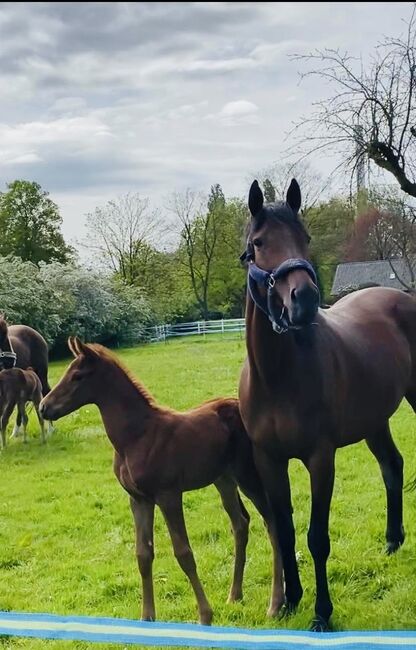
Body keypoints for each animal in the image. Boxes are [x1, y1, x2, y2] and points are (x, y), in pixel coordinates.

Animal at [39, 334, 282, 624]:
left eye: (77, 376)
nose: (43, 407)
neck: (136, 437)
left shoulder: (168, 496)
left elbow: (183, 553)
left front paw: (205, 615)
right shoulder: (139, 500)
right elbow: (143, 555)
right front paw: (147, 618)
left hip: (247, 475)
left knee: (272, 522)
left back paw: (275, 604)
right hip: (224, 479)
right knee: (240, 524)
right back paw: (234, 595)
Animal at [239, 177, 416, 628]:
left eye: (305, 237)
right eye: (259, 243)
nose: (302, 300)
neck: (277, 377)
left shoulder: (320, 458)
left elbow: (316, 537)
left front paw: (321, 614)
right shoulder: (267, 459)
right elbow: (284, 531)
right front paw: (290, 601)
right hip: (374, 419)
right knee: (392, 466)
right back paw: (392, 541)